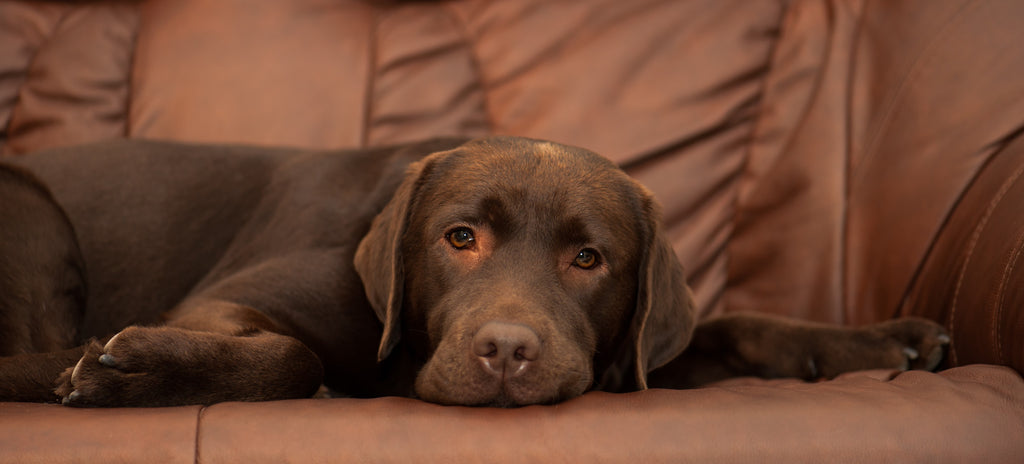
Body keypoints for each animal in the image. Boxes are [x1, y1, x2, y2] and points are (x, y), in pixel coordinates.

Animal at [0, 135, 946, 407]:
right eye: (459, 239)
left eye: (588, 258)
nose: (506, 352)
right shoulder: (222, 302)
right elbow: (294, 356)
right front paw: (139, 368)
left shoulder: (635, 353)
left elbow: (732, 325)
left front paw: (883, 342)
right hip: (33, 209)